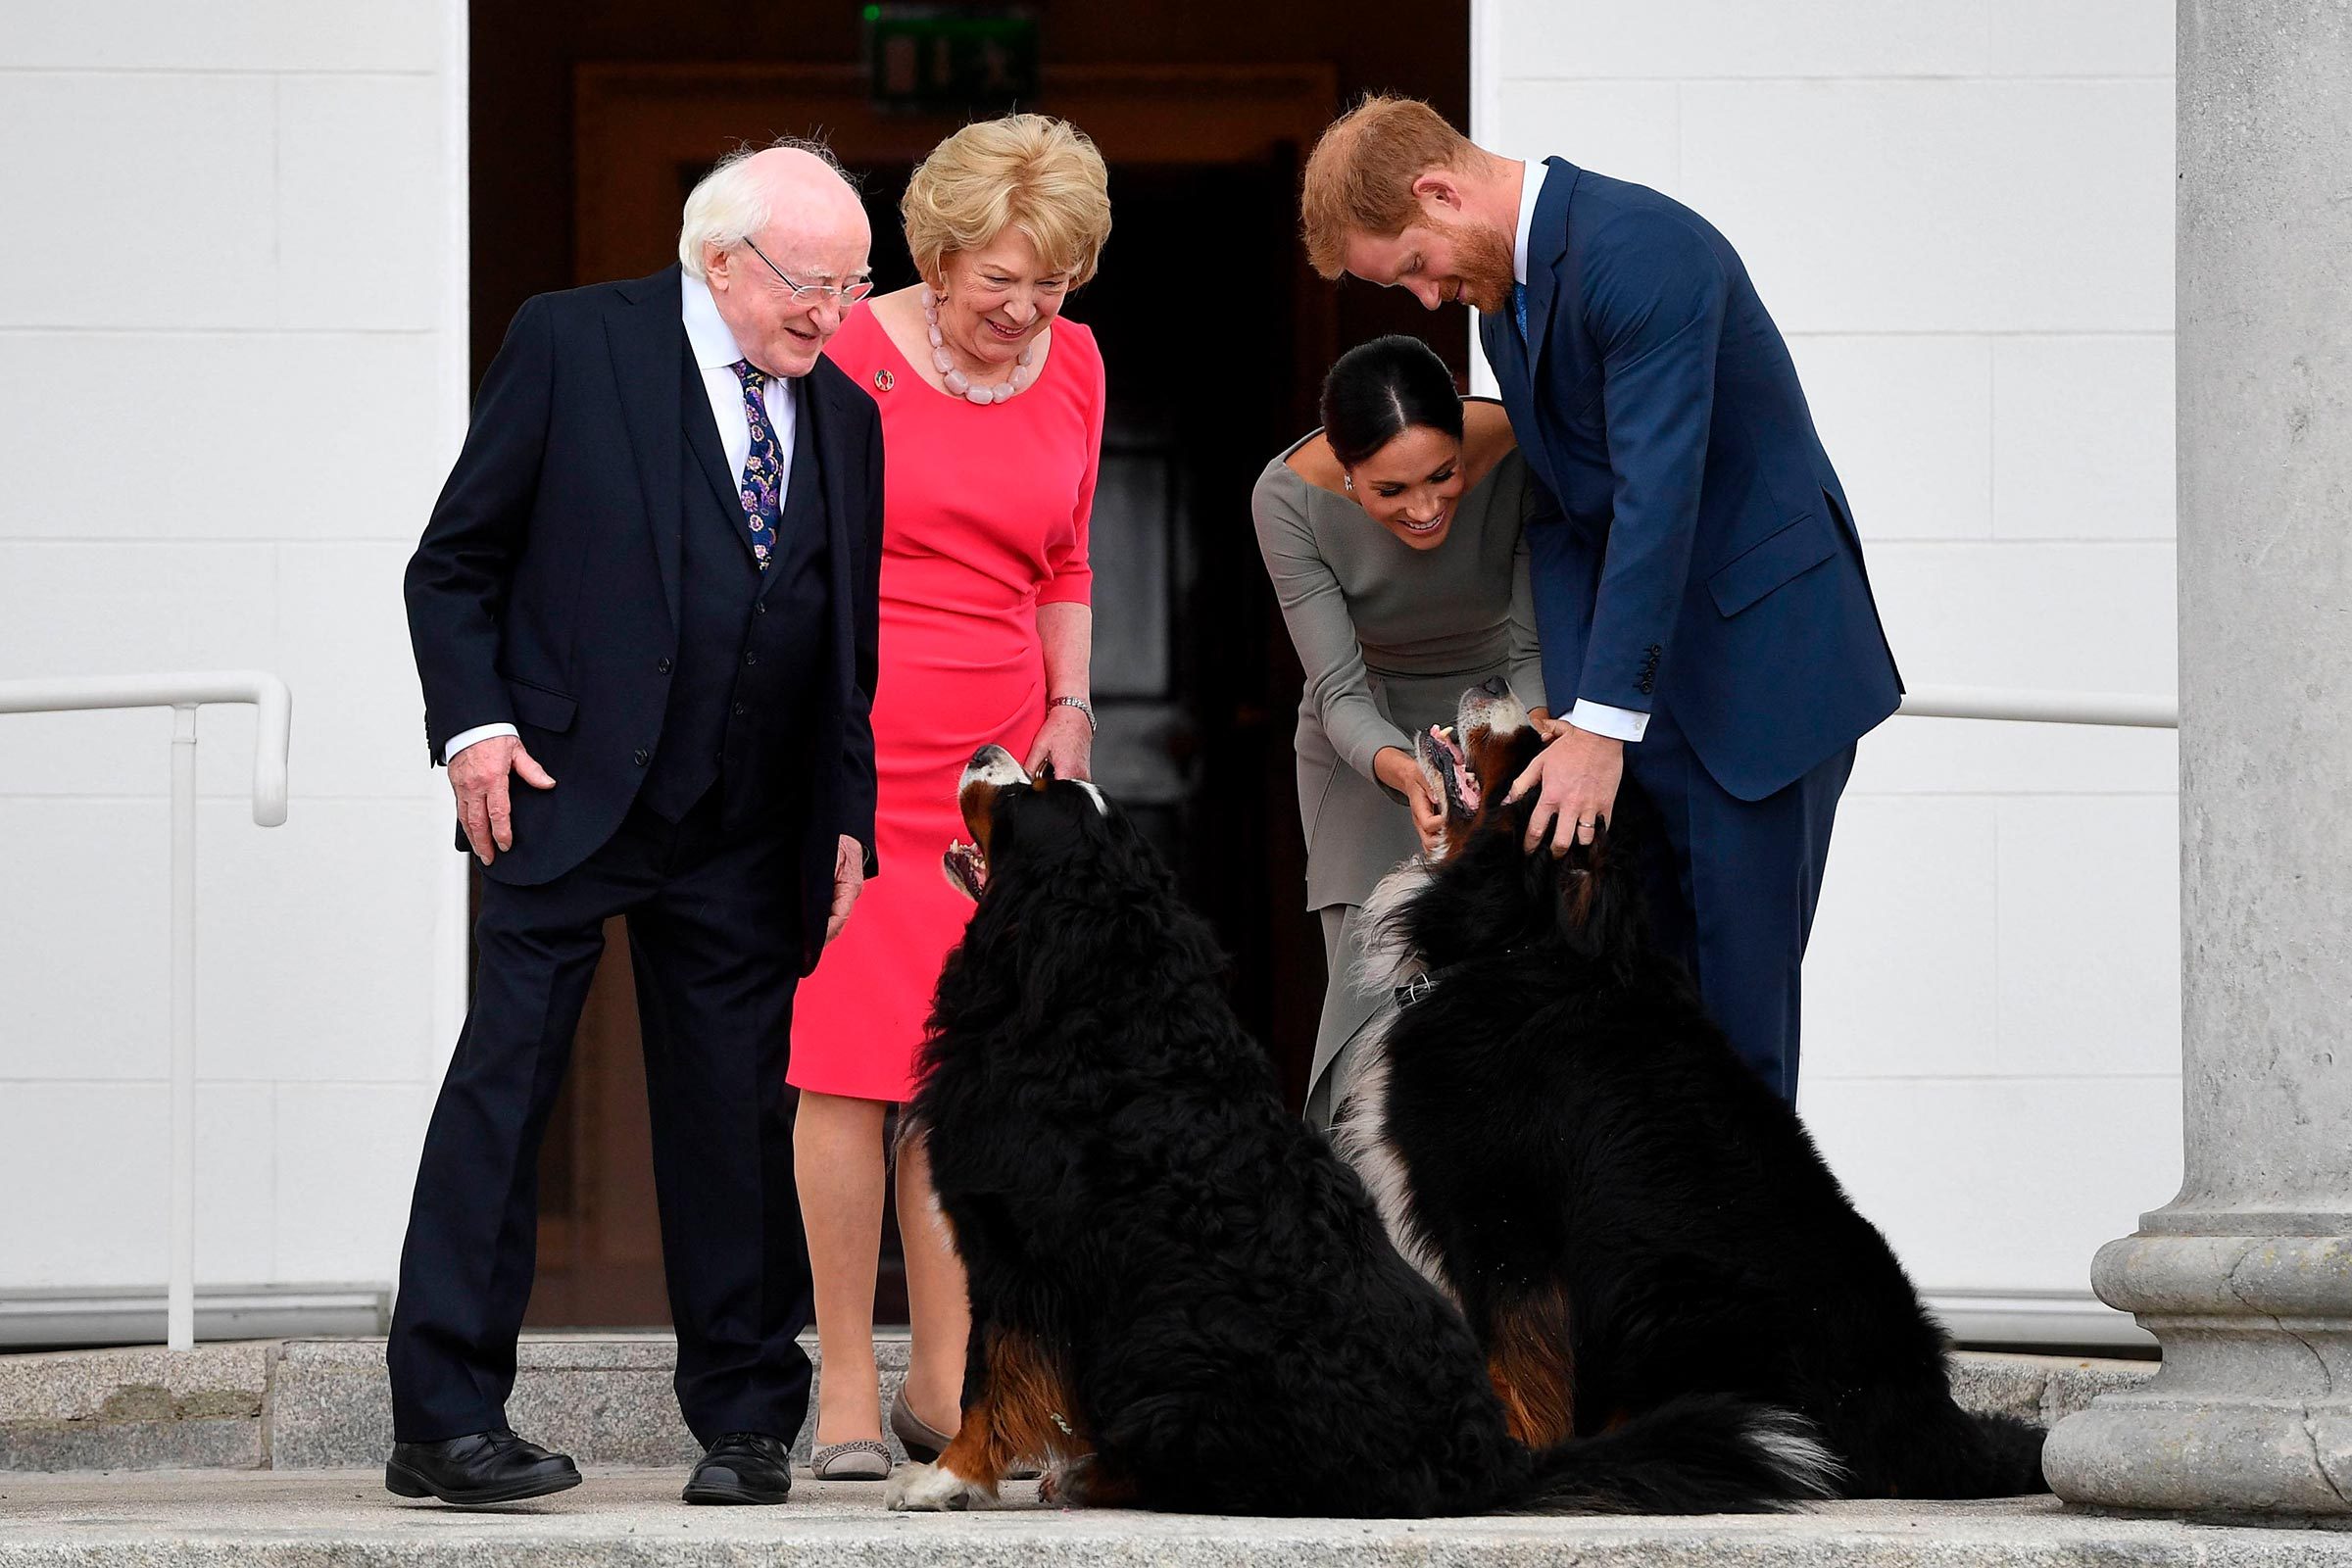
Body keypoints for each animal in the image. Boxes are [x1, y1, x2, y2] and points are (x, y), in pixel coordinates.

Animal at [889, 747, 1843, 1523]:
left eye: (1032, 793)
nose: (984, 748)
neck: (1087, 993)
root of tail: (1493, 1461)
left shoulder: (1014, 1246)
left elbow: (988, 1373)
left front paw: (947, 1479)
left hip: (1171, 1353)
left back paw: (1096, 1475)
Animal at [1345, 681, 2060, 1494]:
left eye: (1535, 754)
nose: (1496, 687)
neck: (1521, 941)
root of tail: (1924, 1415)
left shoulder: (1501, 1216)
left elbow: (1515, 1354)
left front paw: (1513, 1450)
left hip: (1666, 1295)